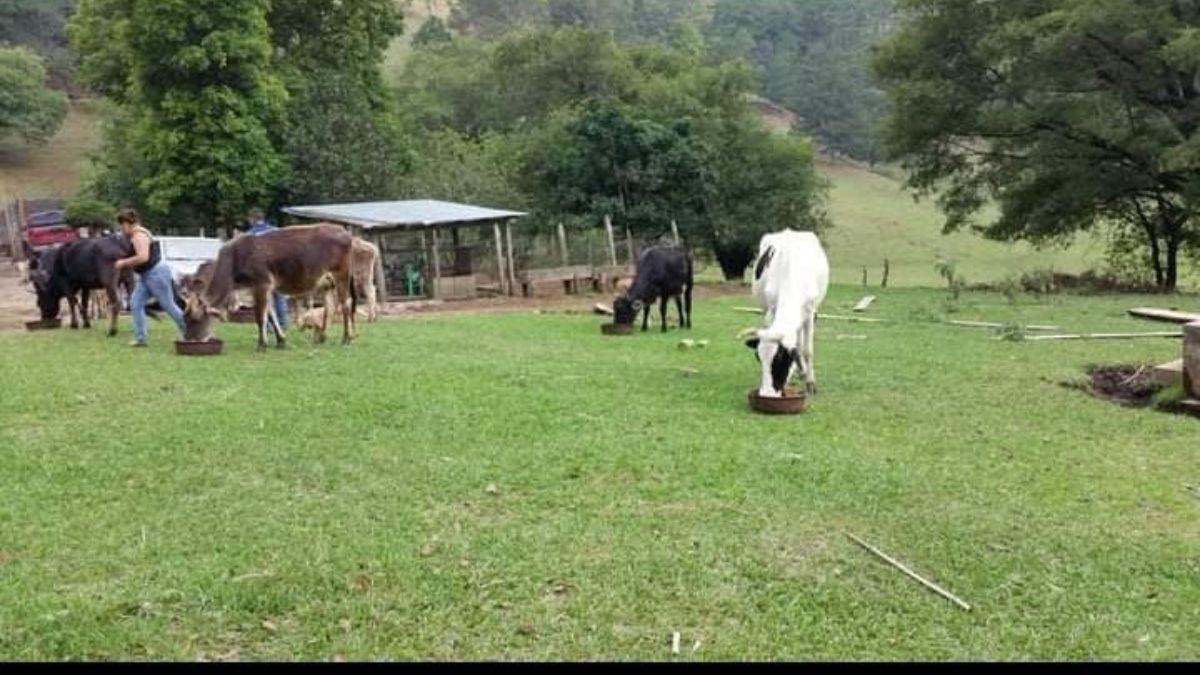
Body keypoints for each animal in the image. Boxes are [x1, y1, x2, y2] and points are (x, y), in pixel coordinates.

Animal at [183, 223, 355, 348]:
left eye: (195, 318)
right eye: (185, 317)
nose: (190, 339)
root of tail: (344, 231)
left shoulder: (262, 283)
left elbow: (260, 316)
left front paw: (262, 344)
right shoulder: (260, 287)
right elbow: (271, 314)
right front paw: (280, 340)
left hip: (341, 275)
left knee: (345, 303)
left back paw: (347, 338)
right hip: (326, 283)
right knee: (329, 307)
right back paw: (322, 337)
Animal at [744, 228, 830, 396]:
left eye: (780, 359)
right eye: (758, 358)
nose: (767, 394)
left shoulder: (810, 313)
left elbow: (807, 350)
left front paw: (810, 382)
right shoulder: (771, 311)